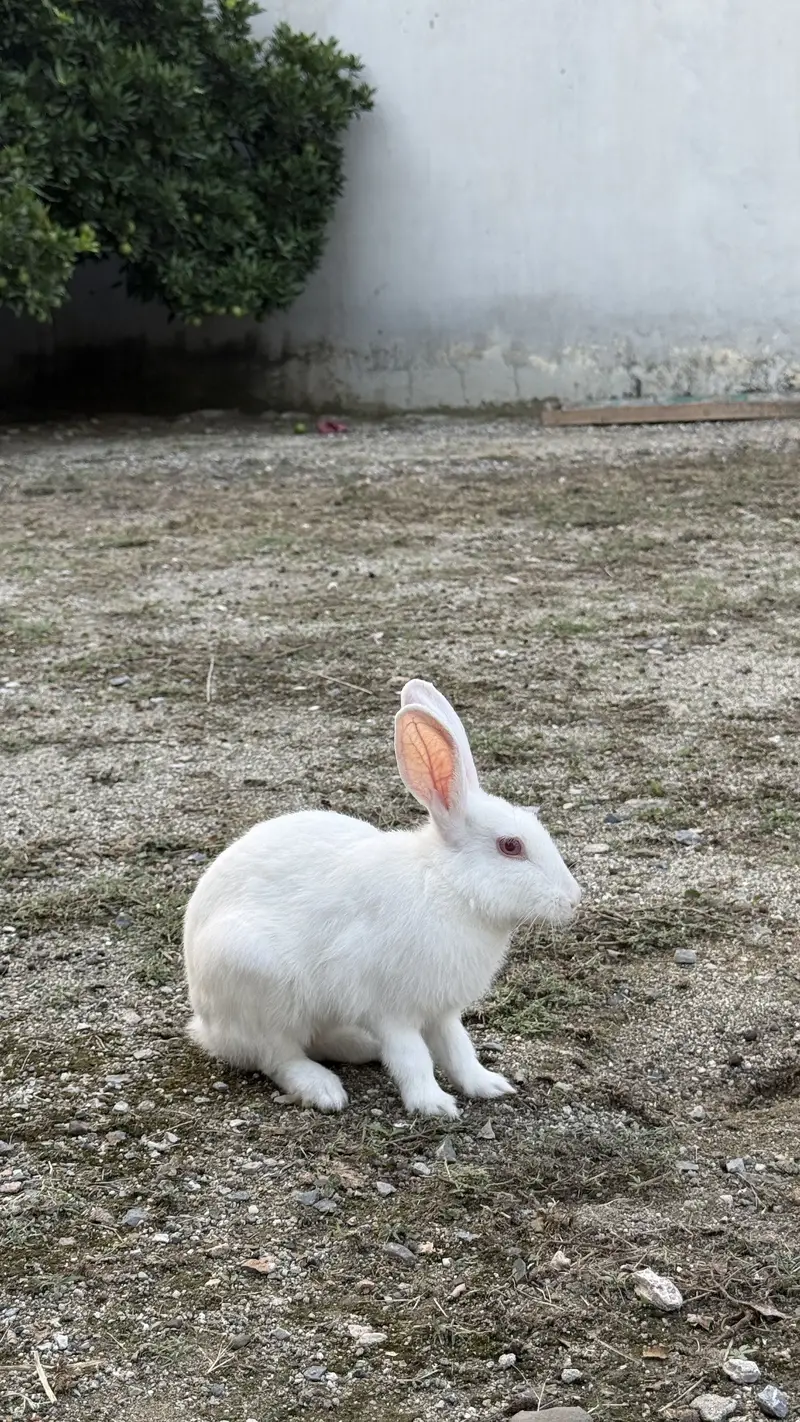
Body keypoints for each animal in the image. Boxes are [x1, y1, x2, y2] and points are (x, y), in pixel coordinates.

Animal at [182, 678, 581, 1117]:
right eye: (511, 846)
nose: (573, 900)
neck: (447, 884)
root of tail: (206, 1025)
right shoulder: (394, 1010)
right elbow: (413, 1058)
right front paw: (433, 1105)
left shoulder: (442, 1012)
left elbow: (459, 1049)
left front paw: (488, 1085)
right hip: (258, 982)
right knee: (277, 1054)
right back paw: (324, 1089)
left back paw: (362, 1048)